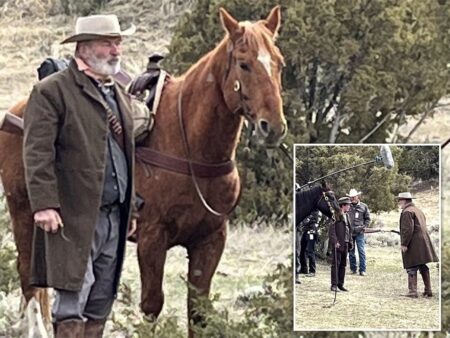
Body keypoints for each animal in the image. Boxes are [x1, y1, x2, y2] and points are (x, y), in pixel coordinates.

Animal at [0, 4, 286, 336]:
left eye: (279, 63)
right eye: (243, 64)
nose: (272, 127)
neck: (189, 145)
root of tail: (19, 110)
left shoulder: (211, 238)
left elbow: (199, 309)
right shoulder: (152, 238)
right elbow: (151, 305)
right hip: (24, 214)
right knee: (30, 282)